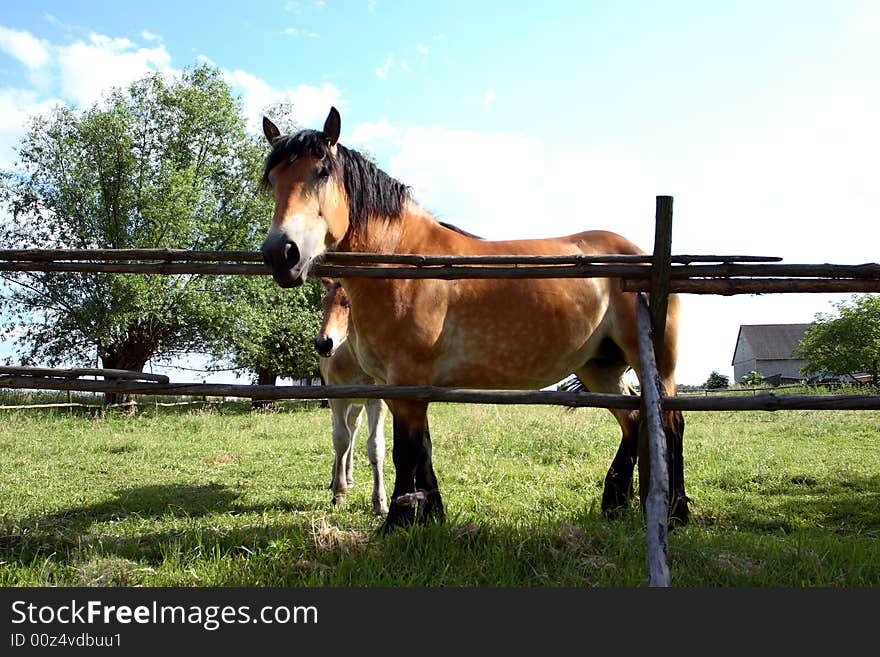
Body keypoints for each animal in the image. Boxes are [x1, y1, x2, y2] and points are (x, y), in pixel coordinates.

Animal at [314, 274, 386, 516]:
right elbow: (340, 440)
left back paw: (349, 474)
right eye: (323, 303)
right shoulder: (337, 398)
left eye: (348, 303)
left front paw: (380, 502)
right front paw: (339, 494)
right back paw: (335, 477)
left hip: (358, 404)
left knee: (353, 426)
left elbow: (375, 446)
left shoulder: (377, 400)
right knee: (341, 431)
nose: (323, 343)